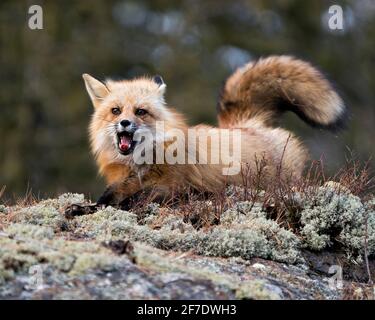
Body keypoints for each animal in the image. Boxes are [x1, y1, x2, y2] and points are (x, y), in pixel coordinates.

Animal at [64, 57, 346, 218]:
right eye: (116, 110)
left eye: (140, 112)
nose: (124, 123)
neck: (140, 165)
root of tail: (247, 123)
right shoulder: (121, 183)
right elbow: (106, 199)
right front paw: (82, 208)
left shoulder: (173, 188)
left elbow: (132, 201)